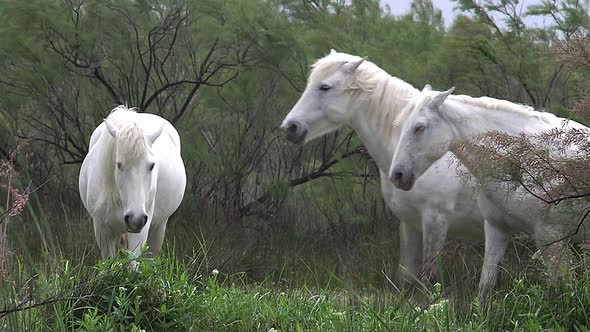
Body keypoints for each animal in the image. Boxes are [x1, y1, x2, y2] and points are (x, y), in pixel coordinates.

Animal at [78, 105, 185, 258]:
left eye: (152, 165)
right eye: (119, 165)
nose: (136, 219)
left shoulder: (140, 232)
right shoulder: (102, 230)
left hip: (158, 228)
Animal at [388, 85, 590, 298]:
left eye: (419, 128)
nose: (397, 175)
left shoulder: (552, 238)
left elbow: (561, 290)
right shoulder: (497, 229)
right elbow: (485, 287)